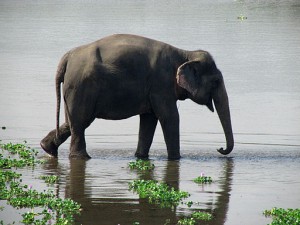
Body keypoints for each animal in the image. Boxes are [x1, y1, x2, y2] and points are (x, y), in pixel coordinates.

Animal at [39, 33, 234, 160]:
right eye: (216, 81)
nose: (220, 148)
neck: (185, 53)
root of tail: (67, 57)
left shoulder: (154, 90)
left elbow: (149, 119)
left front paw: (140, 156)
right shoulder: (161, 84)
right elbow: (170, 117)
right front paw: (176, 159)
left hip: (73, 89)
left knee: (72, 122)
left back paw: (47, 148)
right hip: (82, 86)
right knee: (81, 122)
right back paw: (81, 158)